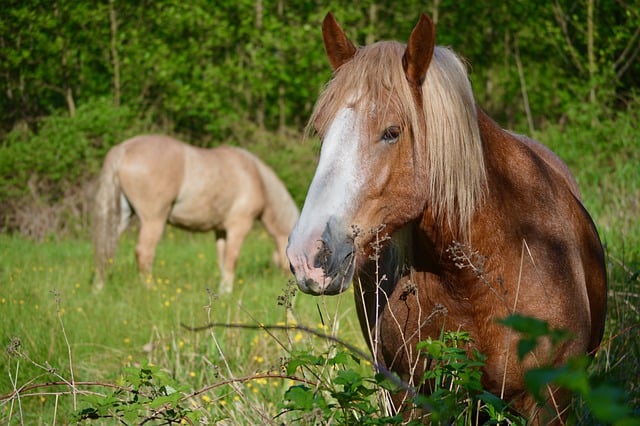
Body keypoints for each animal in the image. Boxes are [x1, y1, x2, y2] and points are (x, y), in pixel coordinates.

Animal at [92, 135, 300, 294]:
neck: (256, 178)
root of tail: (124, 148)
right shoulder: (238, 228)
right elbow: (231, 259)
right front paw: (227, 292)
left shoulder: (220, 231)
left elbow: (222, 260)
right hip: (153, 220)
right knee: (144, 253)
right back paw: (150, 289)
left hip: (120, 218)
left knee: (106, 250)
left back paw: (99, 289)